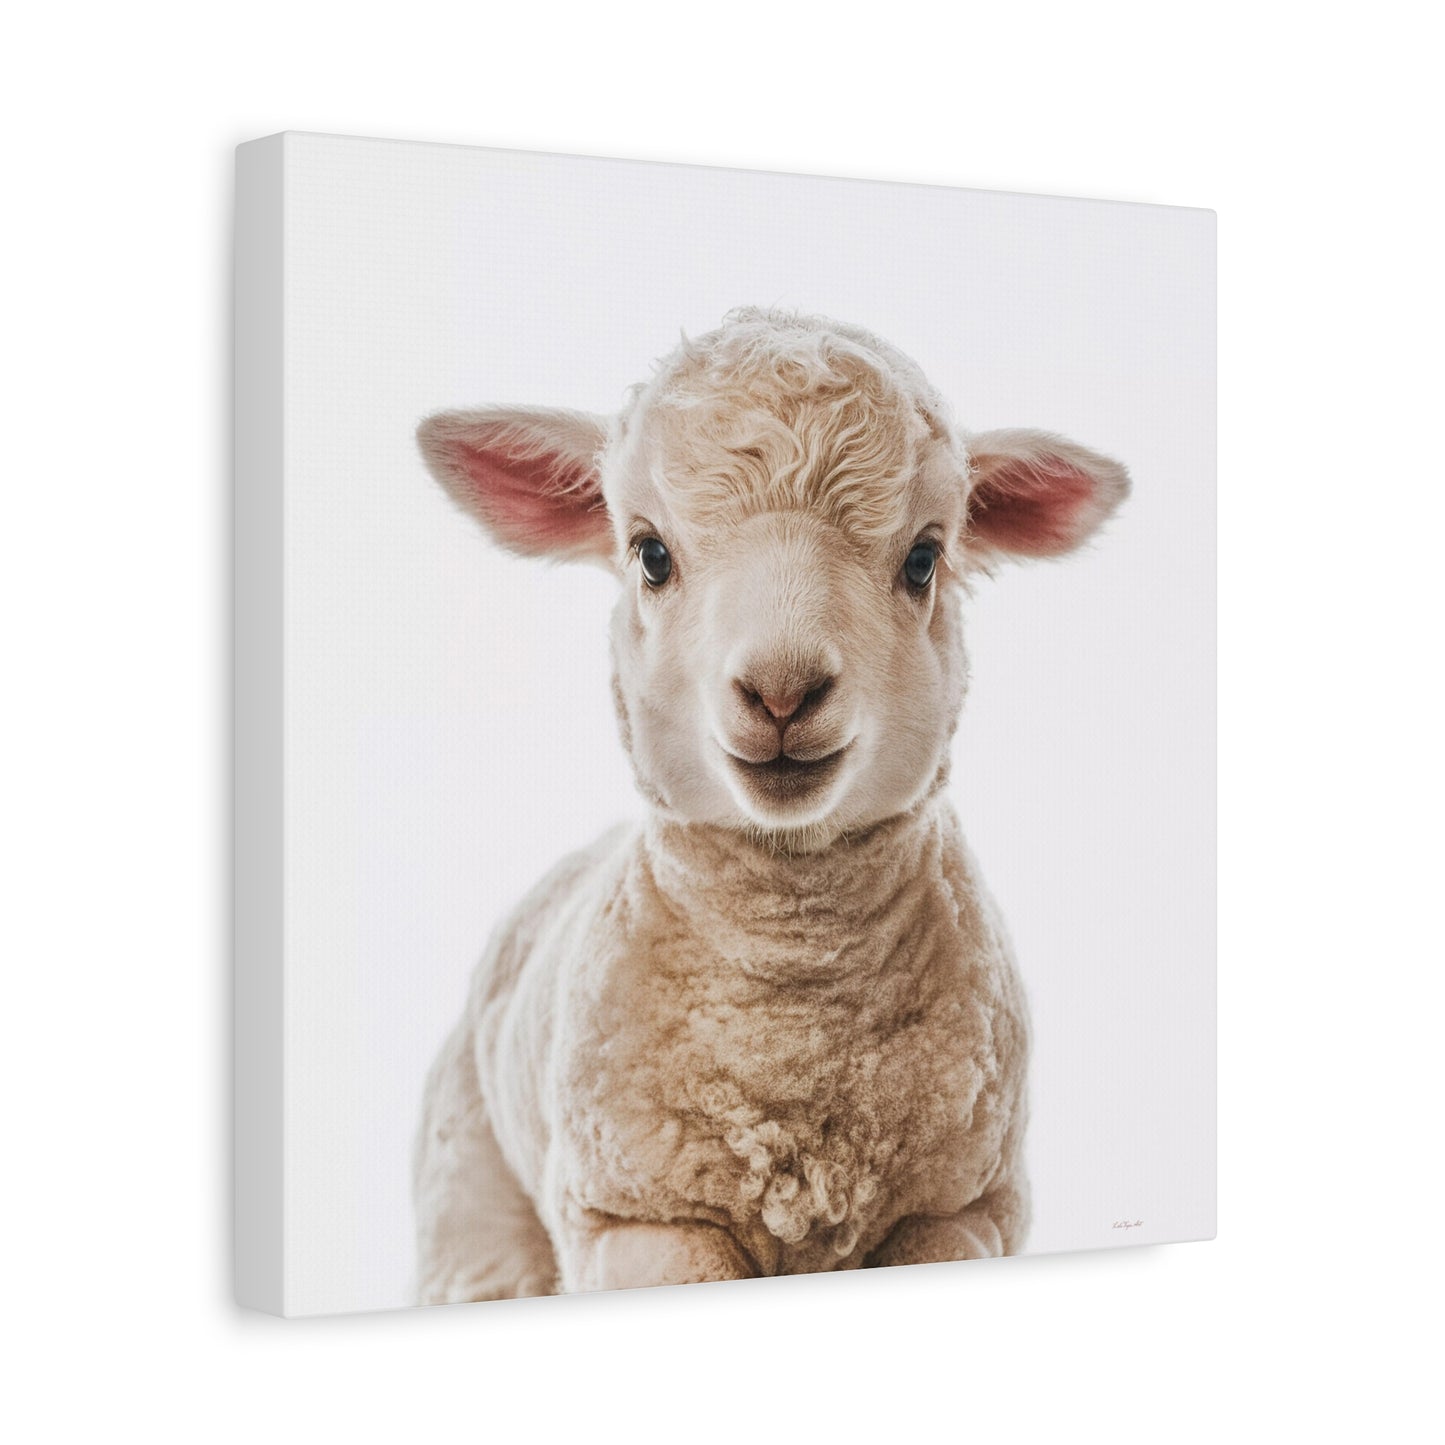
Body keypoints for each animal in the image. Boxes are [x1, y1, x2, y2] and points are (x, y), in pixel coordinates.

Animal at [412, 308, 1129, 1300]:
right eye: (651, 554)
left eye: (923, 558)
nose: (782, 691)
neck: (793, 1009)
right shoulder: (640, 1221)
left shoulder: (962, 1210)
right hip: (474, 1193)